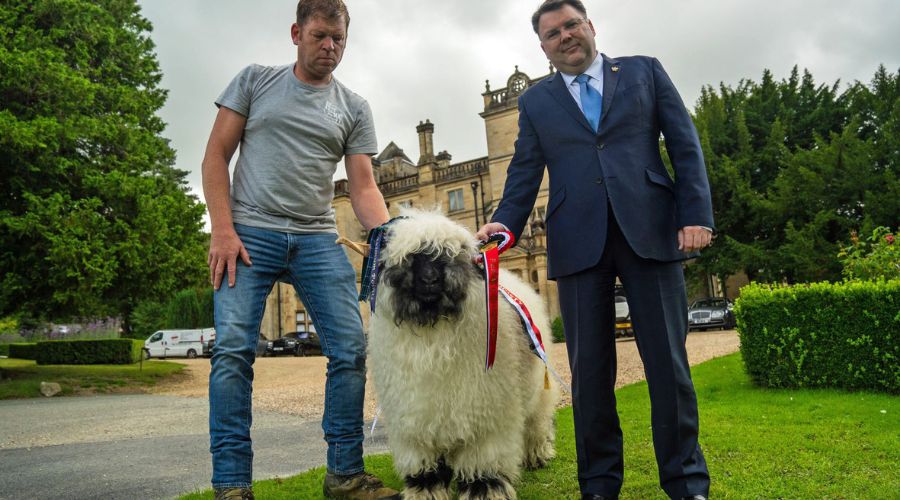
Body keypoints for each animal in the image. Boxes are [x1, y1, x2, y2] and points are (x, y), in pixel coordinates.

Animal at [366, 210, 556, 500]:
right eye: (412, 258)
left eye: (446, 256)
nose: (430, 280)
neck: (433, 331)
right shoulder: (414, 416)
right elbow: (425, 463)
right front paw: (425, 489)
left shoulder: (485, 414)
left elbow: (484, 459)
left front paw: (484, 489)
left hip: (537, 391)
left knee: (537, 422)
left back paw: (537, 455)